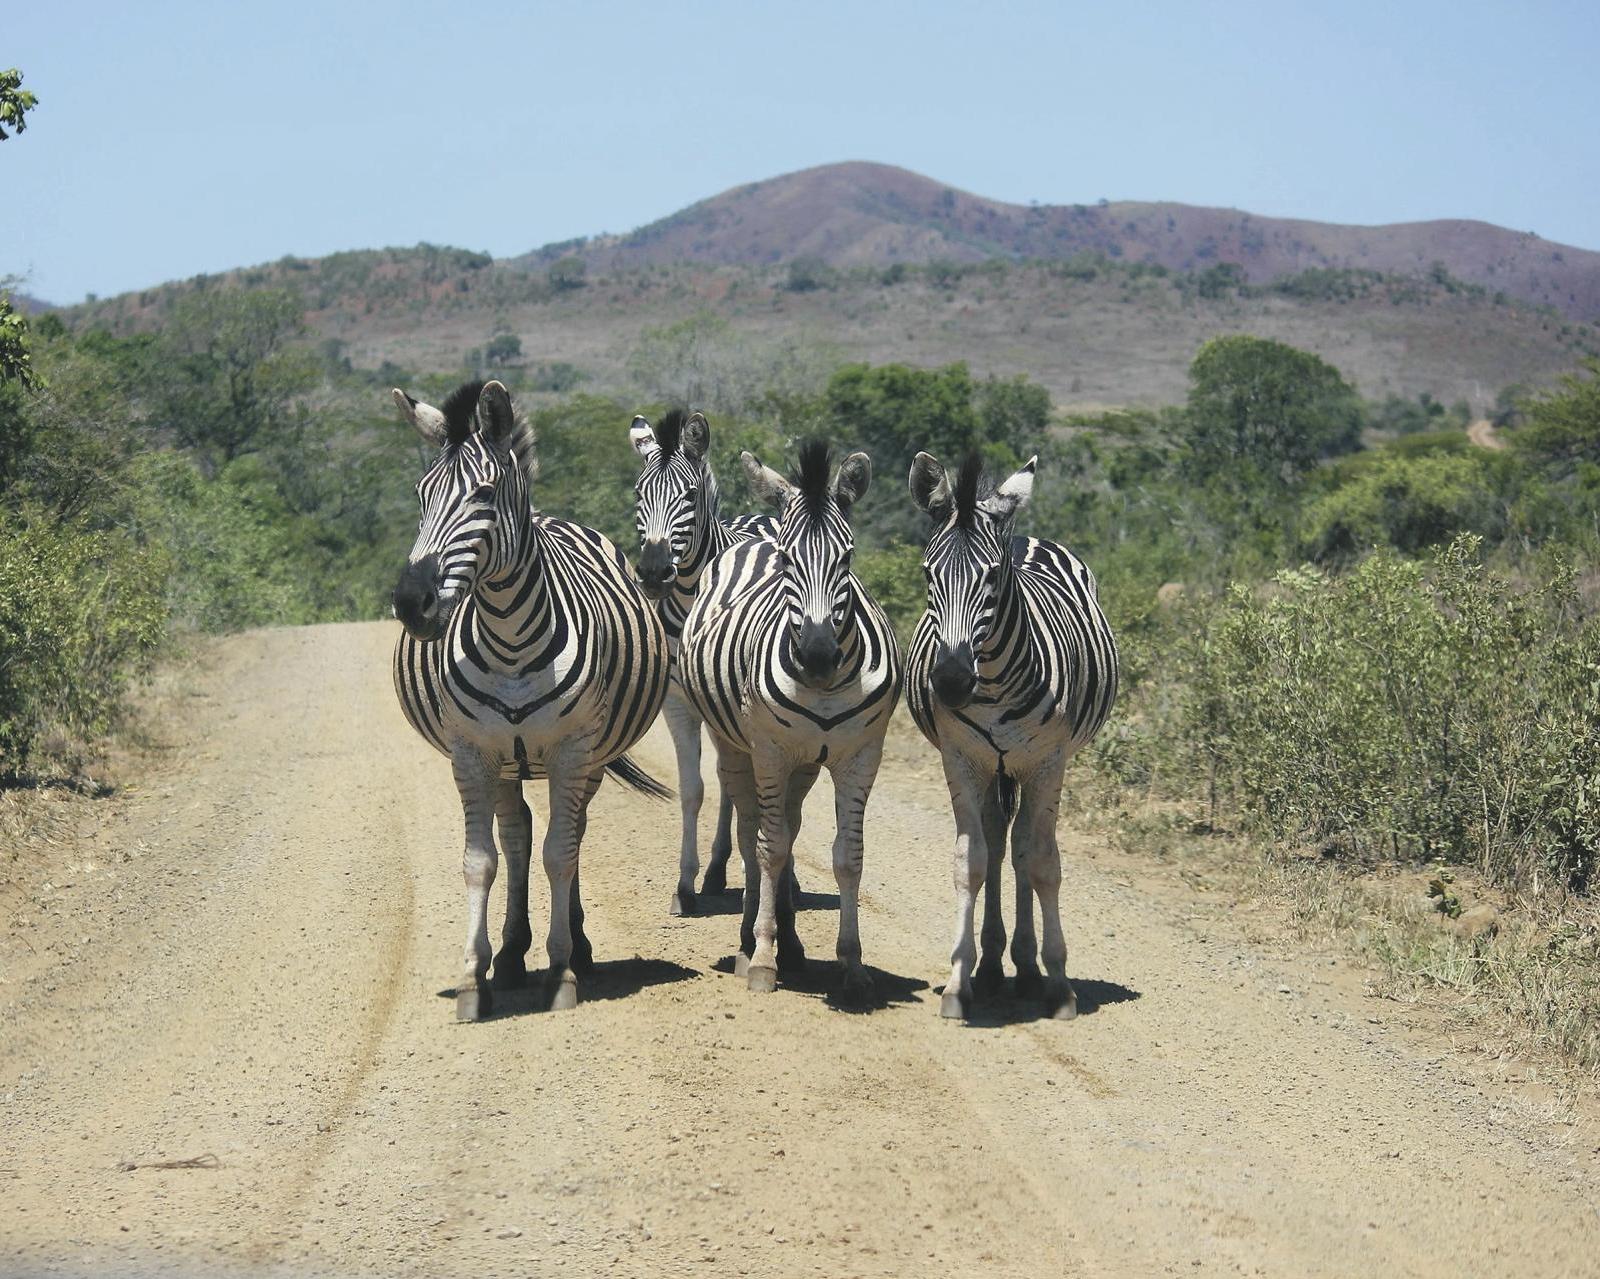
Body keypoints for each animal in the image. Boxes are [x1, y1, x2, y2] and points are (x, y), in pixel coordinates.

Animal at [393, 377, 668, 1018]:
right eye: (421, 494)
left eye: (485, 493)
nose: (412, 602)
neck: (510, 638)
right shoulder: (472, 753)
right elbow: (480, 861)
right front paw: (474, 978)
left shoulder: (573, 749)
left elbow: (560, 853)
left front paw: (563, 969)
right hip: (506, 761)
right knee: (515, 833)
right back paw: (513, 953)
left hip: (589, 758)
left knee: (571, 832)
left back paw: (577, 947)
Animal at [624, 404, 774, 915]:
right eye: (638, 494)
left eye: (689, 494)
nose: (653, 572)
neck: (690, 596)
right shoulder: (676, 703)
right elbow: (693, 791)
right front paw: (685, 884)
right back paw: (714, 871)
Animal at [675, 441, 902, 998]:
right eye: (786, 559)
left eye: (848, 557)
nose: (818, 656)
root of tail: (748, 539)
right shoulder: (772, 752)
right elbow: (770, 848)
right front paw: (762, 957)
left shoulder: (860, 755)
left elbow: (848, 855)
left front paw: (852, 964)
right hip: (738, 746)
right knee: (751, 829)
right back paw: (747, 938)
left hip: (804, 763)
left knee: (788, 826)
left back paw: (793, 943)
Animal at [908, 451, 1120, 1018]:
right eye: (928, 573)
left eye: (991, 576)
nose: (951, 680)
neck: (996, 683)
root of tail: (1023, 535)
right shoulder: (961, 760)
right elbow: (971, 861)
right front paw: (959, 980)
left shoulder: (1049, 761)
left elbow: (1044, 863)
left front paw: (1060, 984)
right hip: (995, 767)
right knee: (1001, 840)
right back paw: (993, 964)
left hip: (1027, 765)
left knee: (1024, 843)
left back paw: (1026, 966)